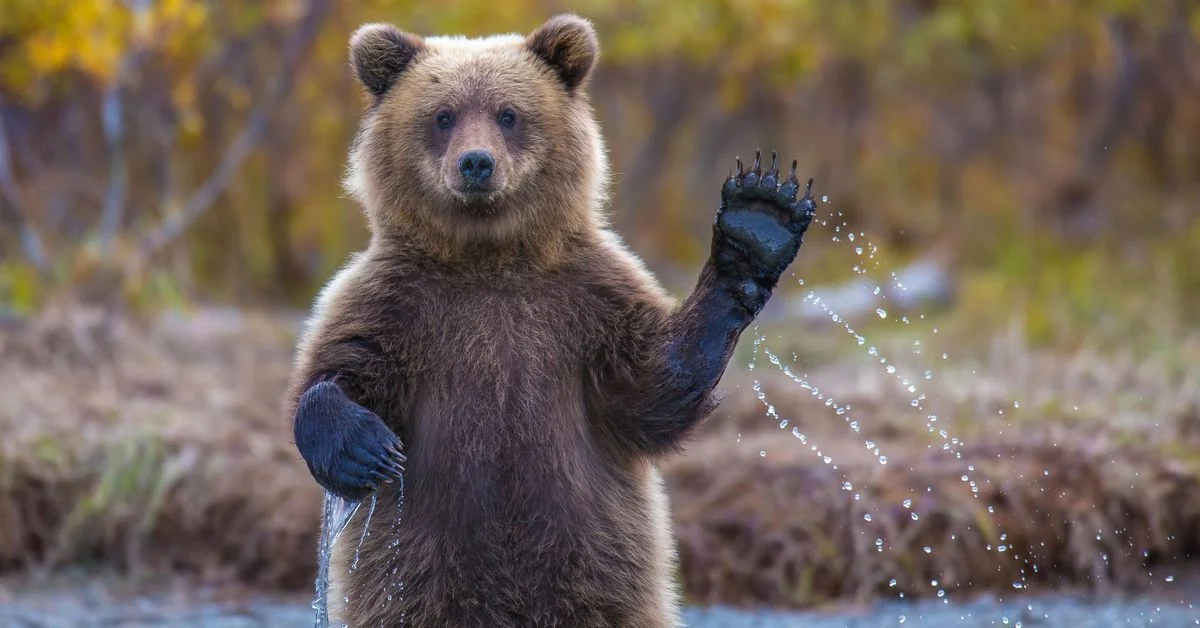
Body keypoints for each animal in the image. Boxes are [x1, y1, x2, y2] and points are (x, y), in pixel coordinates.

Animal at [287, 13, 817, 628]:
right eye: (442, 116)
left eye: (508, 114)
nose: (476, 163)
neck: (489, 258)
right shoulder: (396, 302)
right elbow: (339, 368)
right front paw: (363, 448)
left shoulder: (584, 301)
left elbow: (651, 389)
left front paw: (758, 223)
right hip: (413, 578)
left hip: (599, 575)